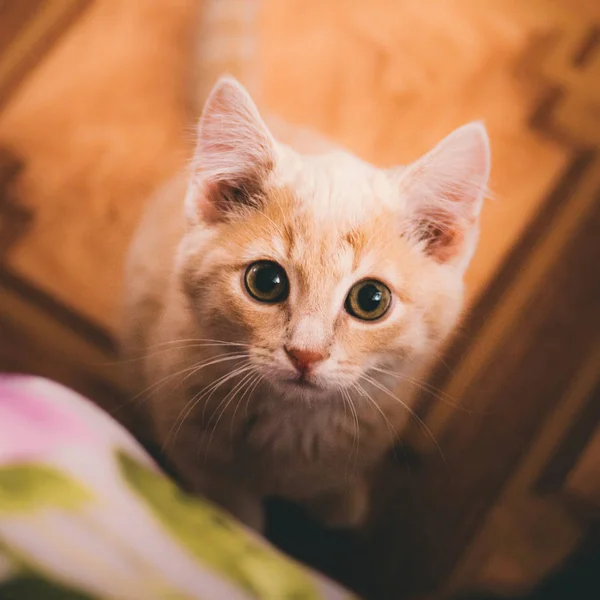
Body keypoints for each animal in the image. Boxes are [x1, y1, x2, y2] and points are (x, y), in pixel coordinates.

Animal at [119, 75, 490, 528]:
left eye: (371, 299)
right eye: (265, 281)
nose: (305, 354)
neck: (293, 424)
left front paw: (341, 501)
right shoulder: (193, 446)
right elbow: (231, 508)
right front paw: (242, 528)